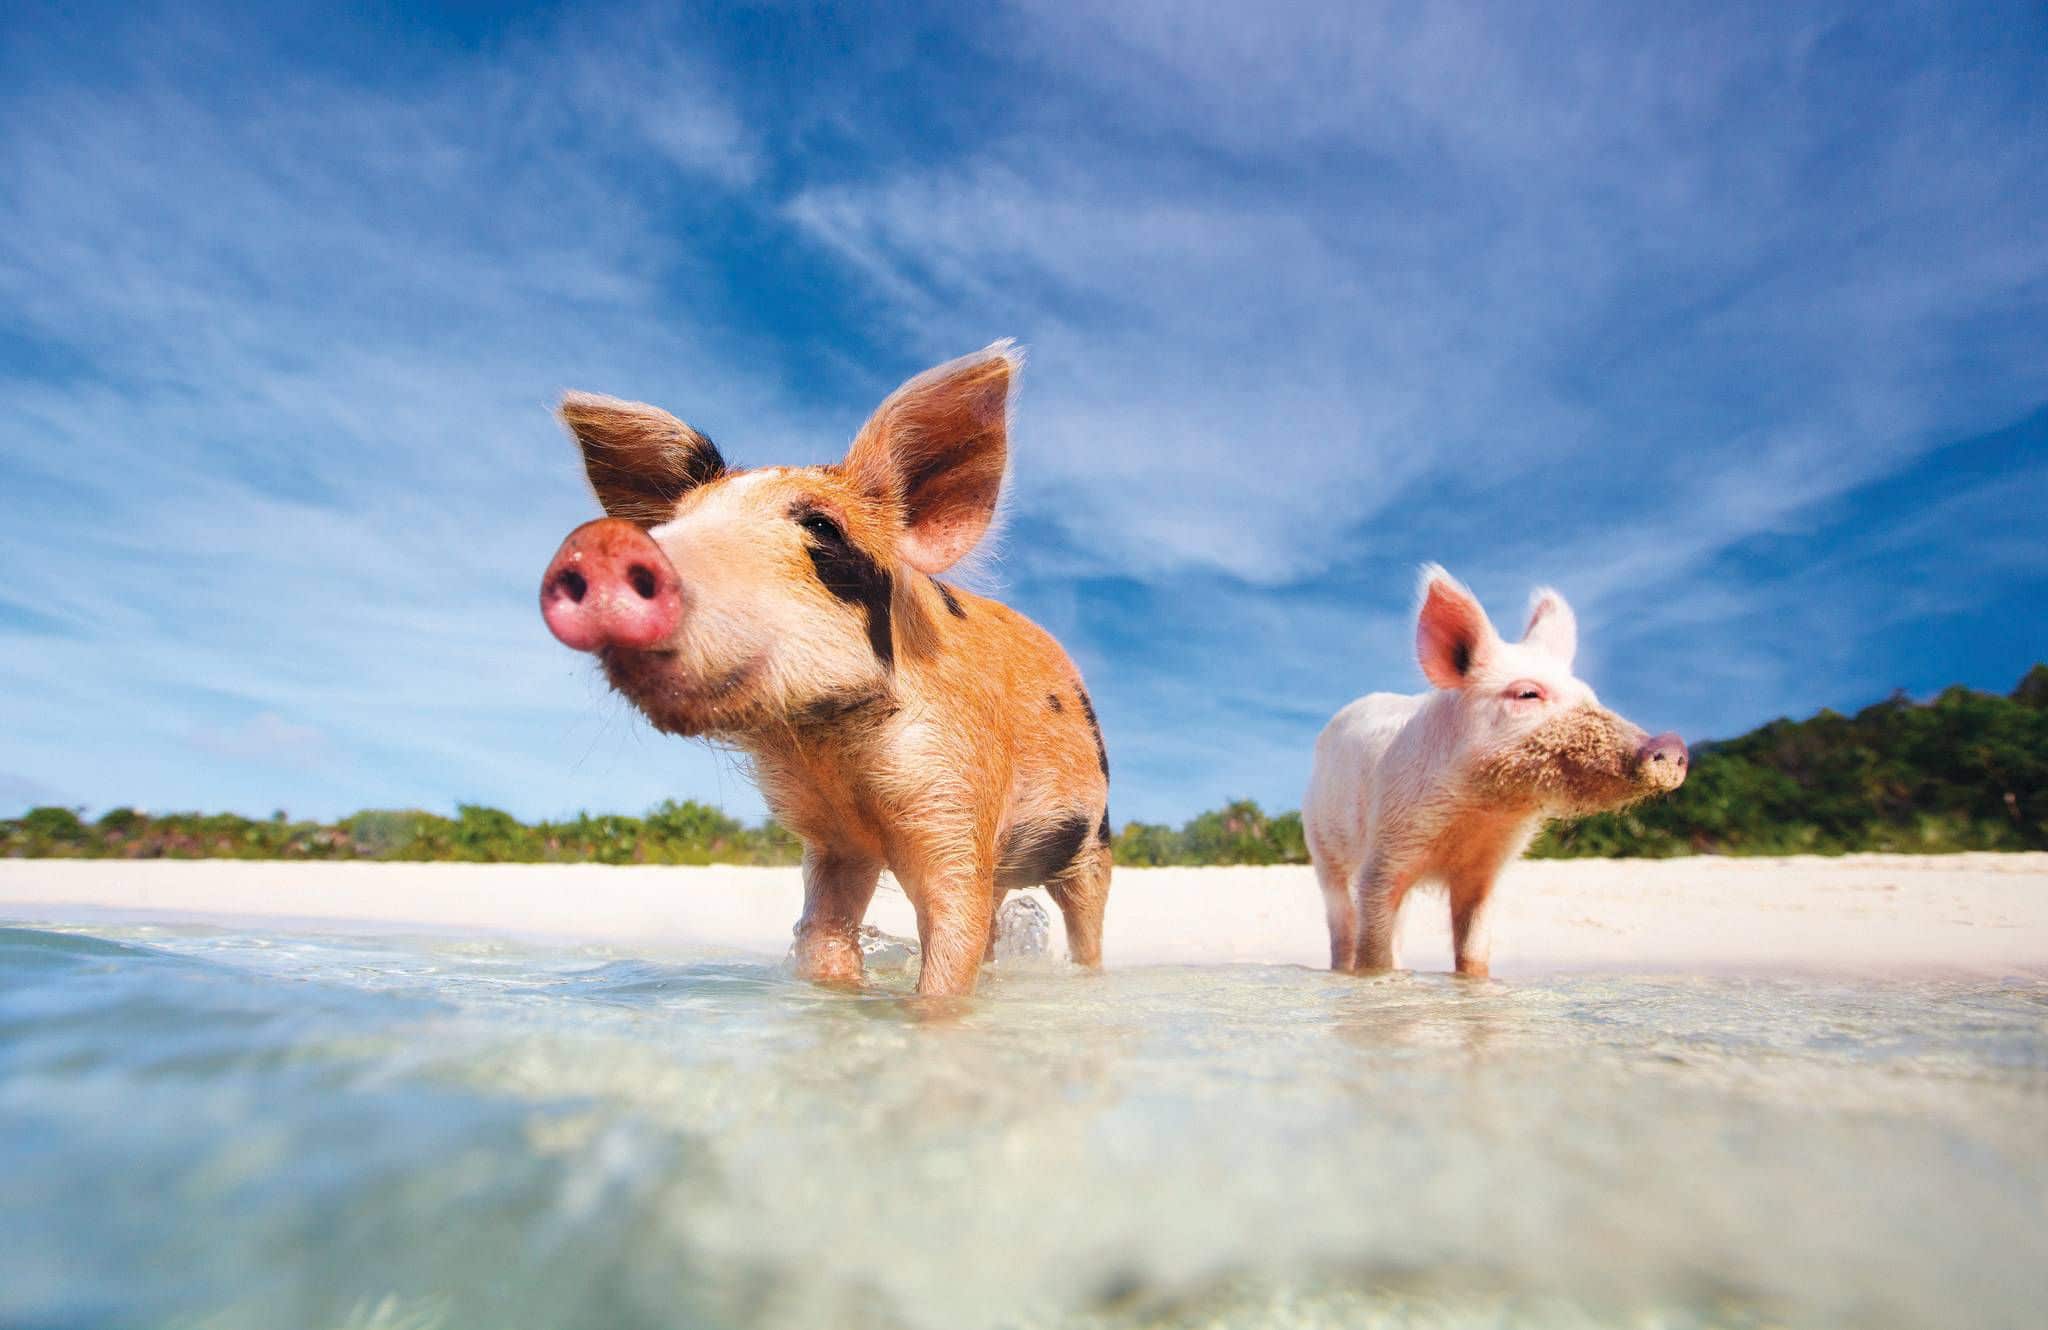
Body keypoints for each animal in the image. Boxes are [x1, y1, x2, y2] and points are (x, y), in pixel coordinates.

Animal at [538, 343, 1112, 997]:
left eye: (822, 528)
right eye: (671, 523)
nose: (602, 544)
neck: (835, 751)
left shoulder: (957, 797)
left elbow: (951, 943)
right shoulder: (834, 841)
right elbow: (824, 936)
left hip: (1093, 841)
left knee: (1084, 923)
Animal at [1303, 566, 1688, 978]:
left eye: (1591, 696)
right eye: (1527, 694)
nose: (1672, 745)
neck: (1480, 811)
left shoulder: (1486, 869)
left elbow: (1474, 949)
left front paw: (1472, 982)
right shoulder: (1386, 850)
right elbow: (1373, 951)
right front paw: (1374, 978)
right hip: (1321, 844)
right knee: (1342, 923)